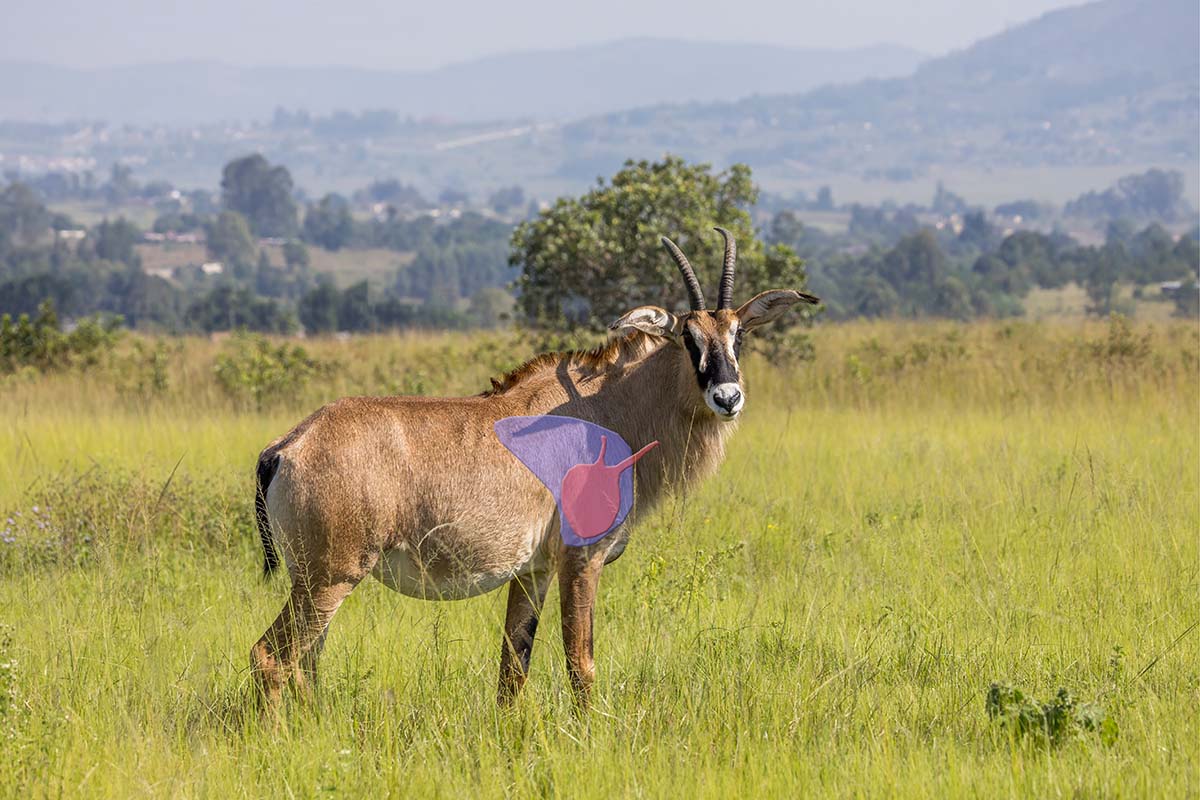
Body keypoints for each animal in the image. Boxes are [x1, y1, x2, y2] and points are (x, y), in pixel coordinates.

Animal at [250, 228, 818, 712]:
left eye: (738, 335)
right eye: (687, 337)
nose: (727, 397)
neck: (604, 409)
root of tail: (286, 448)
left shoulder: (533, 573)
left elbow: (512, 672)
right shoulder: (581, 561)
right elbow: (580, 664)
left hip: (320, 582)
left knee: (306, 666)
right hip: (329, 578)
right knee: (271, 658)